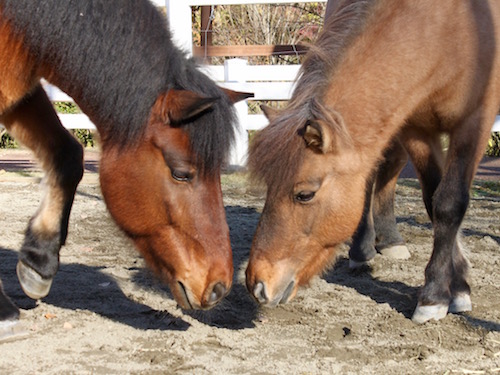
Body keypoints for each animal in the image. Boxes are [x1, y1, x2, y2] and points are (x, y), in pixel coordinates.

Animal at [247, 0, 500, 324]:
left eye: (304, 195)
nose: (257, 284)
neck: (448, 25)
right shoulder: (416, 127)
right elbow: (431, 201)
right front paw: (451, 285)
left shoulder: (474, 123)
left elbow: (448, 204)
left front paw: (440, 293)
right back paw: (368, 247)